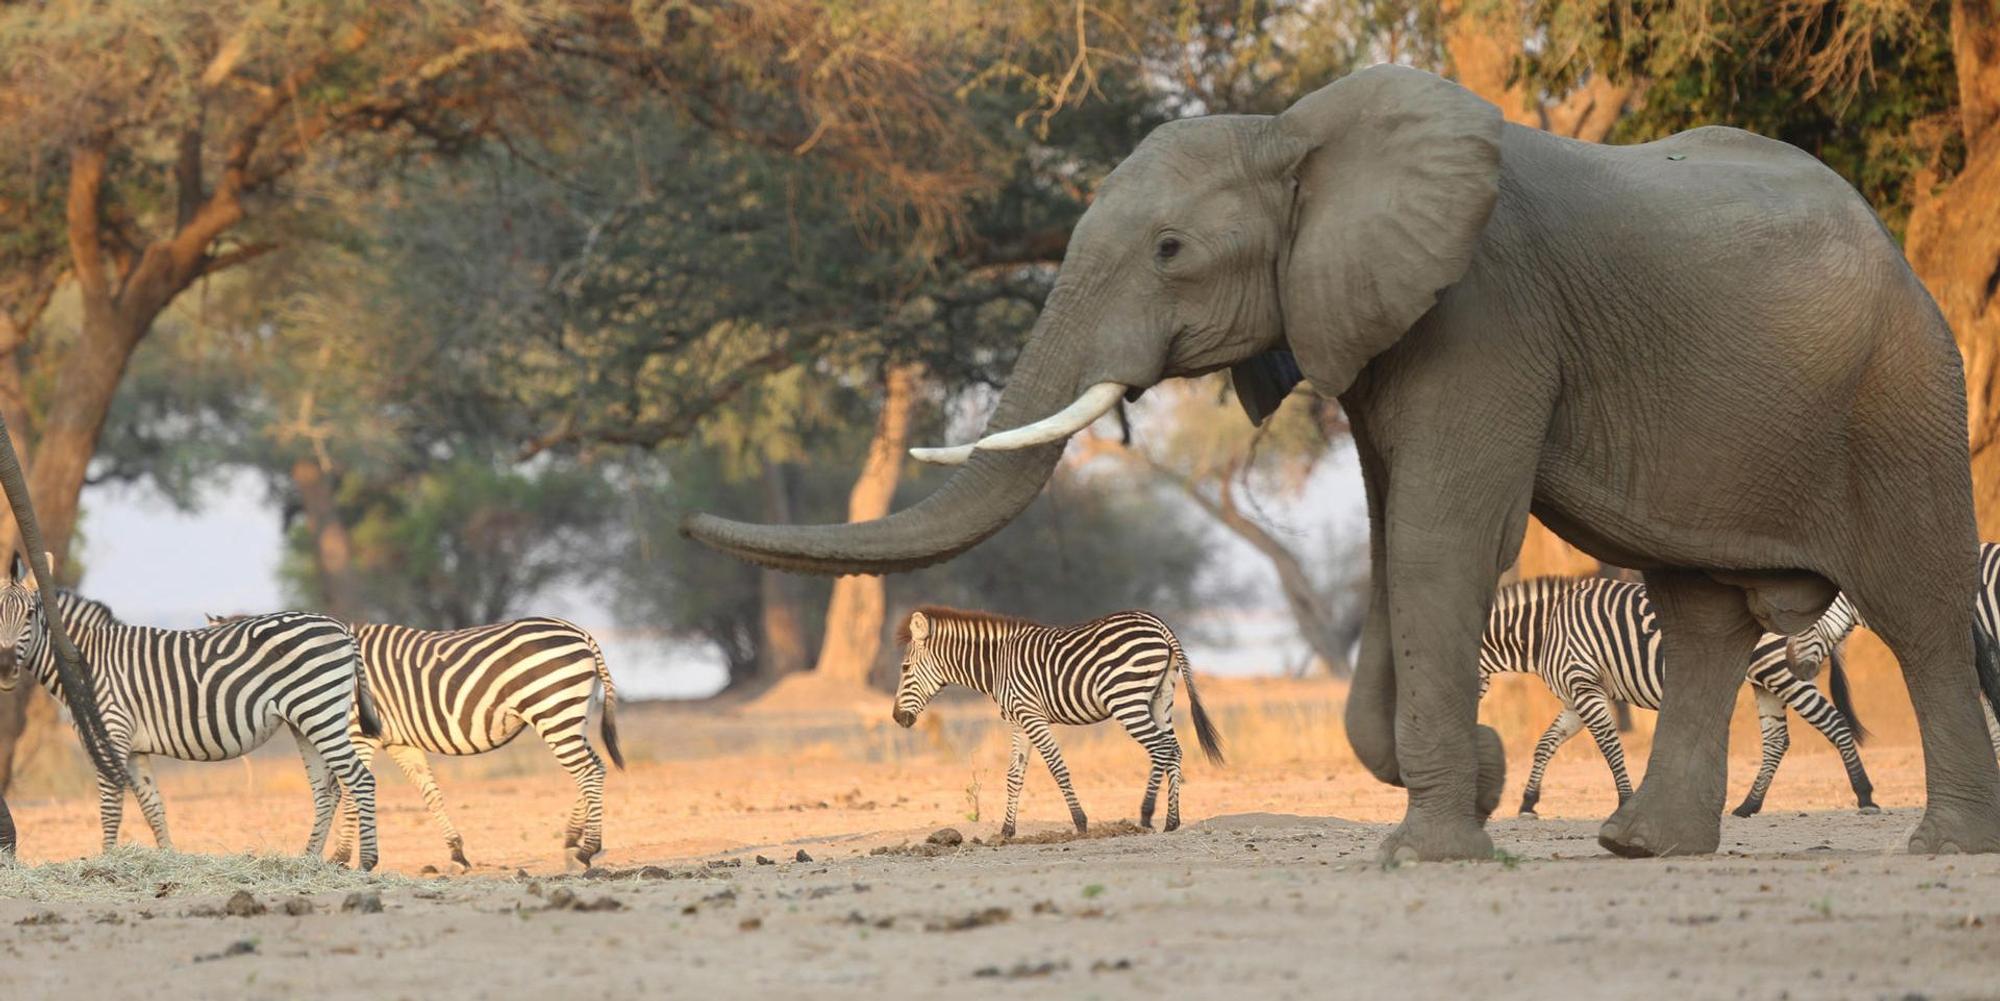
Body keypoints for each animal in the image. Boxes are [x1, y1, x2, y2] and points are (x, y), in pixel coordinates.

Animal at [684, 64, 2000, 861]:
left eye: (1170, 251)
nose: (685, 522)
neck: (1296, 133)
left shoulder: (1484, 303)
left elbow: (1437, 534)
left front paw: (1433, 845)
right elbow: (1387, 536)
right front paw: (1471, 785)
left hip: (1903, 377)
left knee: (1919, 604)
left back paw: (1940, 843)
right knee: (1699, 608)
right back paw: (1643, 846)